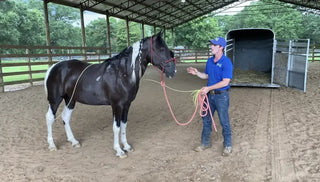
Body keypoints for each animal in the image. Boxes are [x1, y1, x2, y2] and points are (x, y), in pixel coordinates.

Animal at [44, 32, 176, 159]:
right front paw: (119, 151)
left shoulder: (126, 105)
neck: (121, 73)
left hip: (70, 100)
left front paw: (126, 146)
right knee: (50, 118)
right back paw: (52, 145)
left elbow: (124, 125)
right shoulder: (117, 105)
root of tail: (53, 67)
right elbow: (116, 127)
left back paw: (74, 141)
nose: (173, 70)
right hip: (55, 100)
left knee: (65, 117)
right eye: (161, 49)